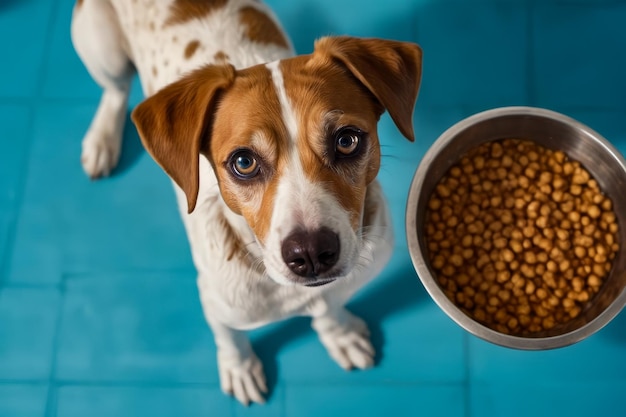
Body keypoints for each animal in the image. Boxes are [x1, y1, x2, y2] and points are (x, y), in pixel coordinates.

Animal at [70, 0, 420, 404]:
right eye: (243, 162)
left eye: (347, 140)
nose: (311, 253)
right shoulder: (215, 302)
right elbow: (230, 338)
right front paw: (240, 368)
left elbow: (330, 307)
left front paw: (340, 334)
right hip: (101, 47)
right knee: (116, 89)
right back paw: (102, 140)